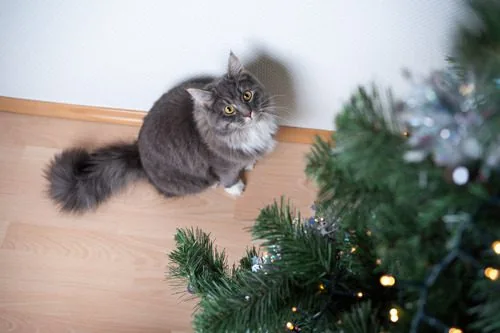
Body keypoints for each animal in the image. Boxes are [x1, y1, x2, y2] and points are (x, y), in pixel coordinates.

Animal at [45, 52, 280, 213]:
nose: (248, 113)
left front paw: (249, 163)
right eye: (228, 109)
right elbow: (229, 176)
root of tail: (138, 157)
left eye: (247, 95)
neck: (250, 130)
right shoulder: (221, 163)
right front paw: (236, 188)